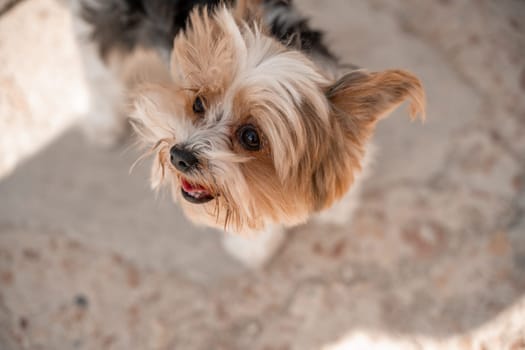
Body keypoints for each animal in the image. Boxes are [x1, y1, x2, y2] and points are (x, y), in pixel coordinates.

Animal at [69, 0, 424, 268]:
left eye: (251, 137)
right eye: (198, 103)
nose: (178, 156)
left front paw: (338, 208)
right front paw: (254, 246)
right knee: (98, 66)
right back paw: (103, 123)